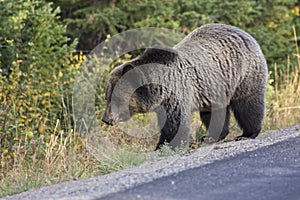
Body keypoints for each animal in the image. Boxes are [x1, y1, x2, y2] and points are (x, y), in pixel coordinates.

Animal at [102, 23, 268, 149]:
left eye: (117, 98)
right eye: (107, 97)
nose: (106, 119)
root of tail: (243, 32)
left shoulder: (176, 93)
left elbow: (176, 122)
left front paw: (173, 144)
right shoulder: (163, 102)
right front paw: (162, 145)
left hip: (243, 74)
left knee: (248, 103)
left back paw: (247, 133)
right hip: (214, 87)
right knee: (214, 111)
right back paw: (212, 136)